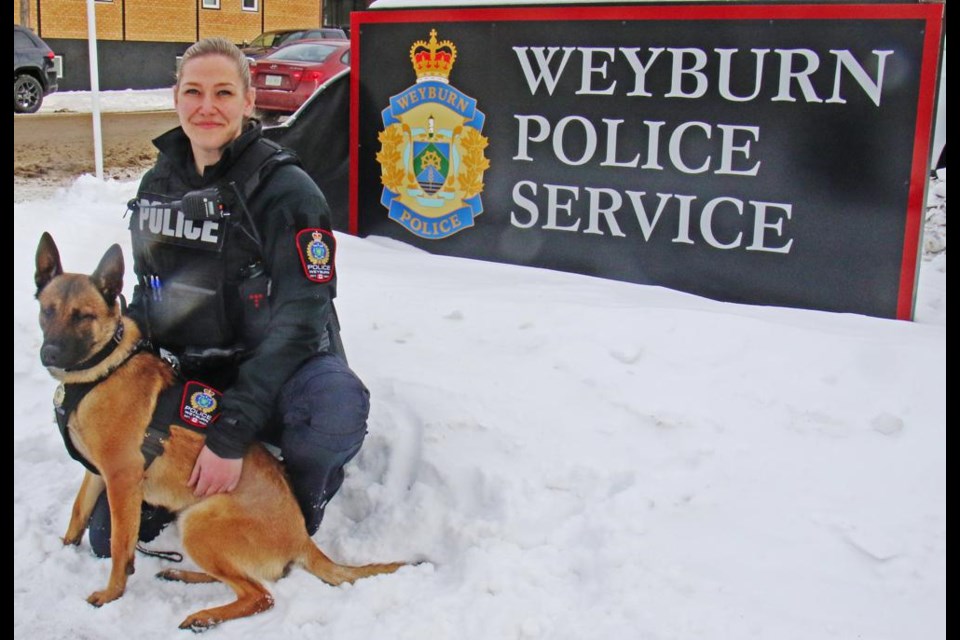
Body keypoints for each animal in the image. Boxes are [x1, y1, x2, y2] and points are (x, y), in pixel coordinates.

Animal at [35, 232, 404, 632]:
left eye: (83, 316)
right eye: (48, 311)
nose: (50, 353)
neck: (103, 369)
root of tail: (302, 538)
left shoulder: (120, 480)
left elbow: (118, 544)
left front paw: (112, 593)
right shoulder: (96, 473)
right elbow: (78, 512)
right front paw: (64, 547)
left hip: (199, 523)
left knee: (260, 595)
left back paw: (205, 615)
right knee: (242, 581)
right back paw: (184, 577)